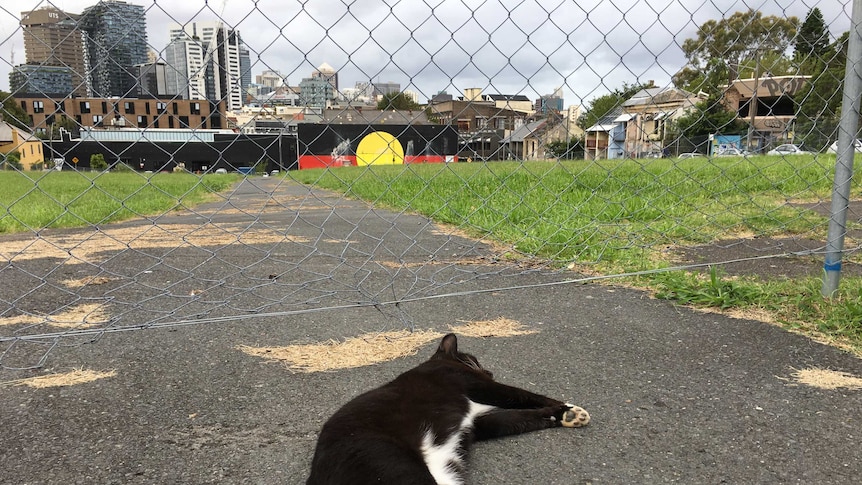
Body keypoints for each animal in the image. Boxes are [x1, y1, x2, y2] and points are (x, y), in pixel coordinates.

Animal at [308, 332, 592, 484]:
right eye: (474, 360)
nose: (489, 370)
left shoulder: (480, 421)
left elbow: (521, 417)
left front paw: (565, 414)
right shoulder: (479, 386)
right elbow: (522, 395)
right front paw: (561, 404)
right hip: (389, 462)